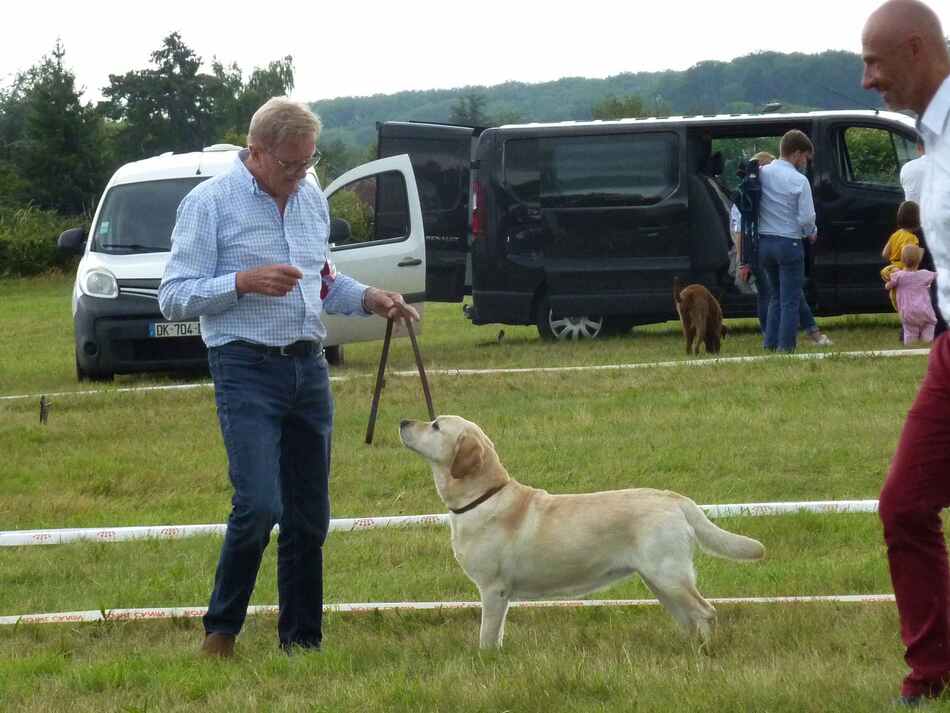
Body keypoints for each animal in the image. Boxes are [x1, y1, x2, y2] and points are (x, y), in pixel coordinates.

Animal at [400, 414, 768, 648]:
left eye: (435, 425)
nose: (403, 422)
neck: (483, 496)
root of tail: (675, 499)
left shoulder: (494, 589)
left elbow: (488, 635)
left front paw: (486, 660)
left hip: (668, 576)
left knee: (706, 612)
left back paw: (705, 652)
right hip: (659, 581)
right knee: (688, 618)